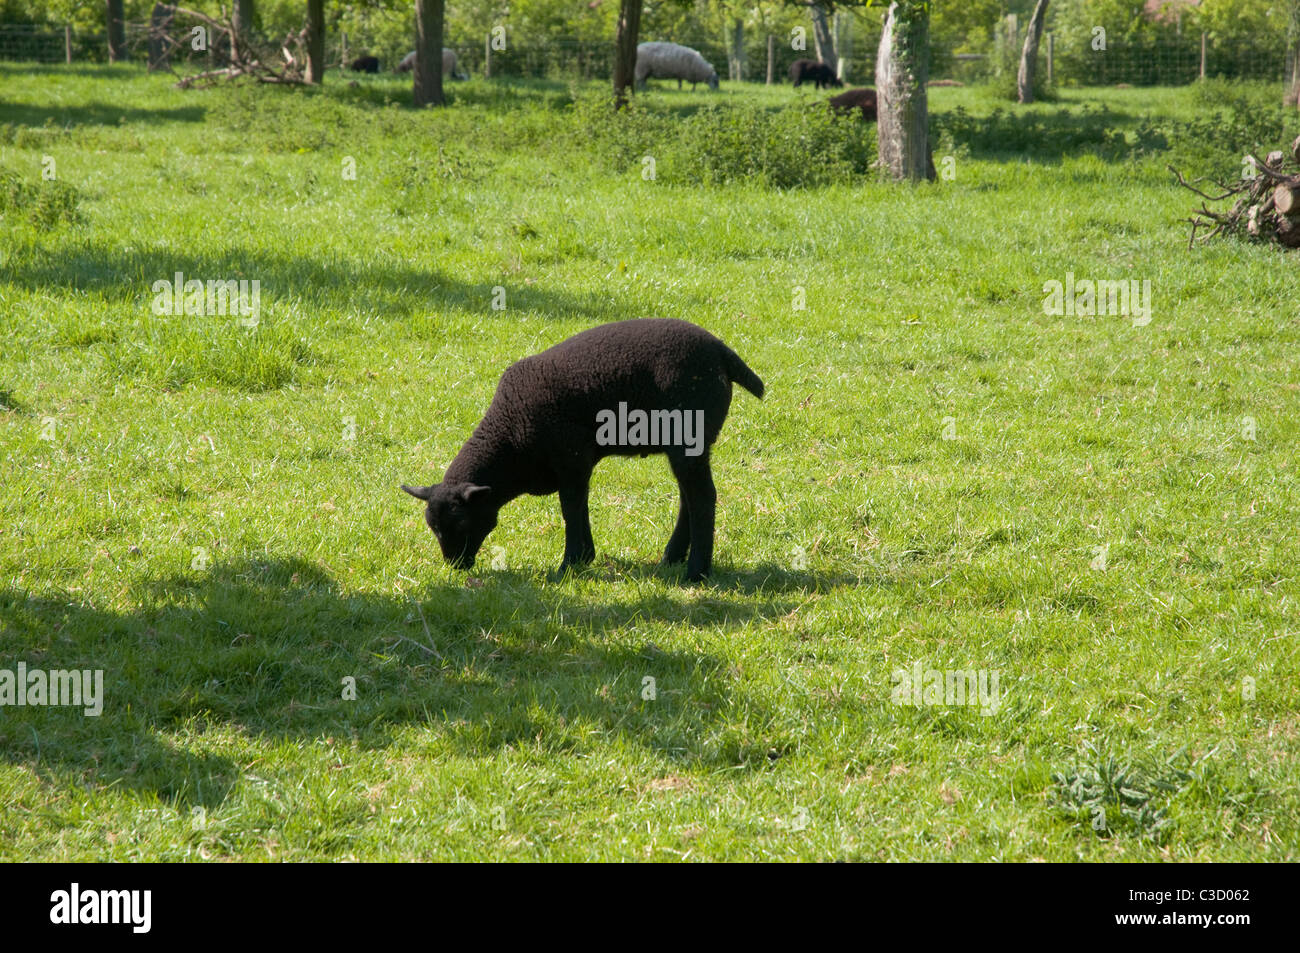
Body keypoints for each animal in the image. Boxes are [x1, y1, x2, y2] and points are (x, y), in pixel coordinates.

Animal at [397, 317, 759, 579]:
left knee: (702, 497)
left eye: (460, 523)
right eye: (432, 527)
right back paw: (672, 556)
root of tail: (721, 351)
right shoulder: (576, 466)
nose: (455, 566)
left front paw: (569, 564)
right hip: (686, 444)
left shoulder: (571, 459)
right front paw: (584, 557)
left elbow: (570, 509)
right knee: (689, 496)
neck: (510, 442)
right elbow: (579, 506)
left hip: (688, 435)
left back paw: (696, 571)